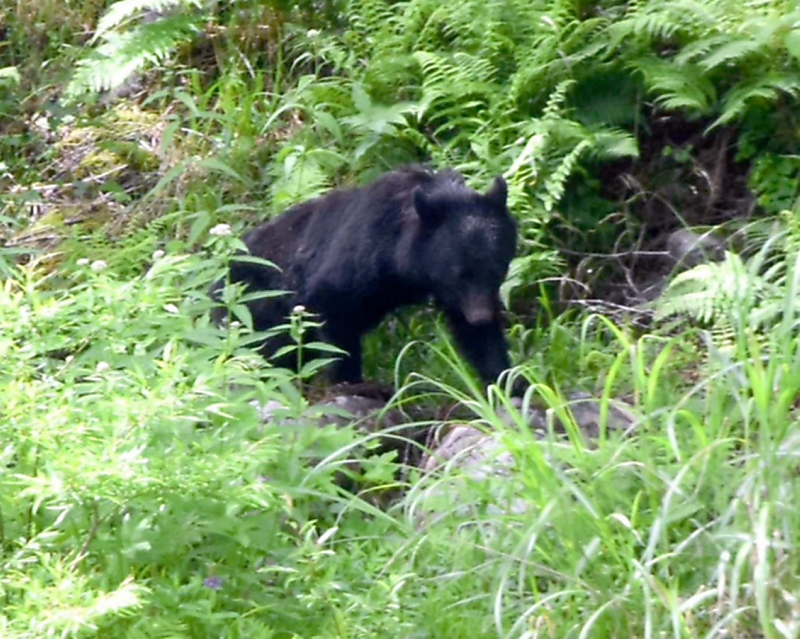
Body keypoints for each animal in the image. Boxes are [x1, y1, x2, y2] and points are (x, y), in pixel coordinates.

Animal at [212, 166, 518, 388]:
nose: (480, 316)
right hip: (256, 308)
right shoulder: (356, 257)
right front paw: (349, 380)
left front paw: (508, 382)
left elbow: (477, 338)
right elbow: (332, 309)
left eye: (496, 268)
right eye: (458, 274)